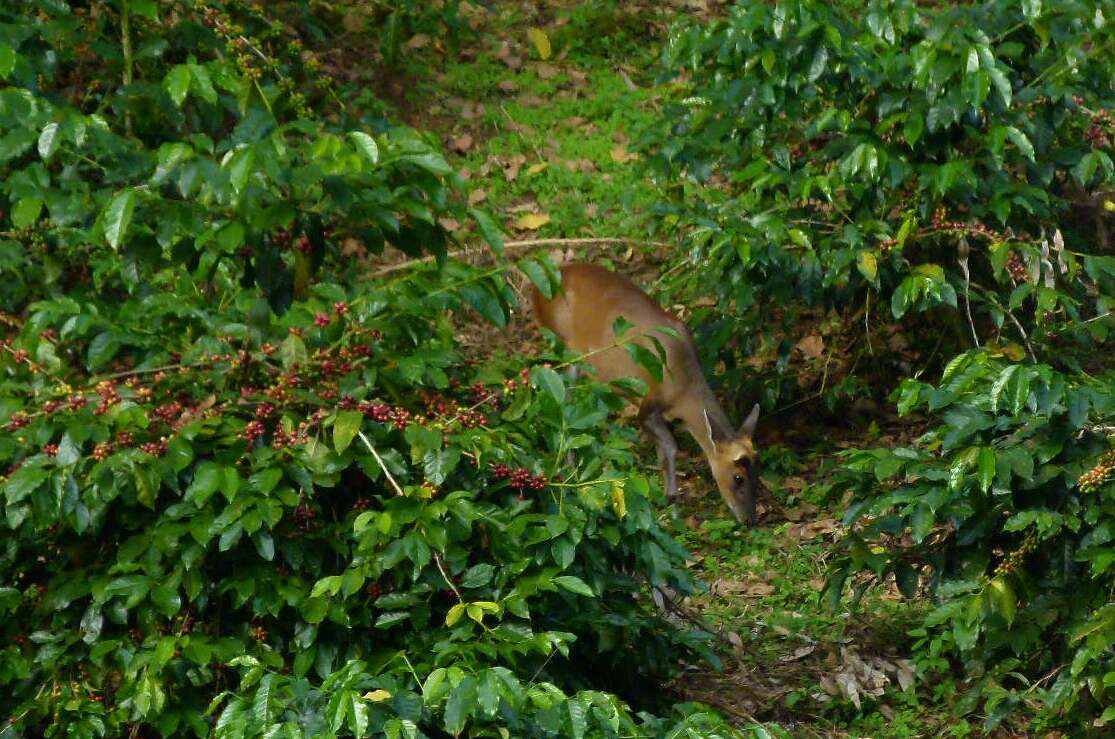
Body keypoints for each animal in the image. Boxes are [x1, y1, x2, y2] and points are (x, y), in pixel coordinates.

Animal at [528, 263, 758, 523]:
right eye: (738, 477)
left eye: (757, 475)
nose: (749, 520)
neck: (682, 387)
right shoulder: (647, 407)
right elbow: (670, 447)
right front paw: (671, 502)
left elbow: (664, 450)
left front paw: (669, 501)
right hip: (564, 346)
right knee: (564, 399)